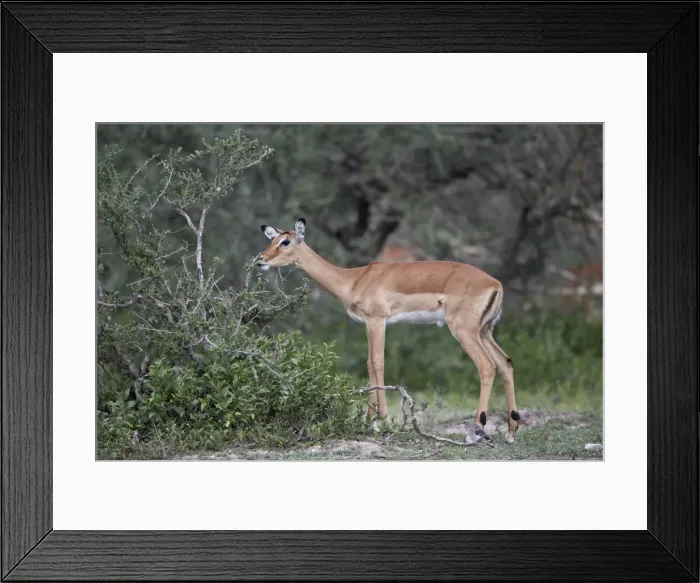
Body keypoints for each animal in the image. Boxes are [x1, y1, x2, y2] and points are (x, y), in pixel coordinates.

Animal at [256, 218, 520, 443]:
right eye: (272, 239)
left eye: (285, 241)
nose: (260, 259)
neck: (354, 280)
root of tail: (495, 284)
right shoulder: (367, 324)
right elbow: (369, 364)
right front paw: (369, 421)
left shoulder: (377, 321)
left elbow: (377, 362)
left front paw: (379, 418)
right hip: (484, 331)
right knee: (505, 363)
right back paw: (510, 432)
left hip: (464, 330)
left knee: (487, 366)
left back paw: (476, 432)